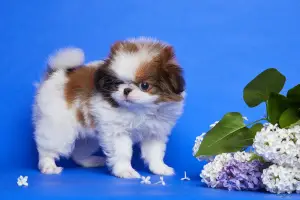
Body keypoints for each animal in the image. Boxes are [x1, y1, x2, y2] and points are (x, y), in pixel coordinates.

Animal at [34, 37, 185, 178]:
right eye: (117, 83)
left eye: (145, 85)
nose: (126, 90)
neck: (140, 109)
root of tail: (57, 73)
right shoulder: (117, 132)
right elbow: (123, 152)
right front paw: (125, 171)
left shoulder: (154, 132)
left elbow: (155, 153)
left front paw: (160, 168)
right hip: (59, 129)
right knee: (47, 148)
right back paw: (48, 165)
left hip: (88, 137)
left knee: (79, 152)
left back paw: (89, 161)